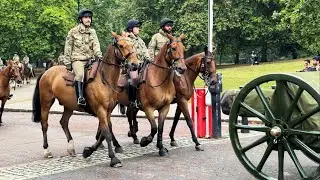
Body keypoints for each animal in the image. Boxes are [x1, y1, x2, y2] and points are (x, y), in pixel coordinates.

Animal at [31, 31, 140, 167]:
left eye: (132, 44)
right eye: (121, 45)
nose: (135, 64)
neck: (105, 79)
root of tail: (47, 71)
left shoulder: (108, 111)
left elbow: (104, 132)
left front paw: (88, 151)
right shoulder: (100, 110)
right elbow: (106, 132)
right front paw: (113, 158)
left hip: (68, 106)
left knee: (63, 122)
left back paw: (71, 147)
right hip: (46, 102)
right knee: (44, 124)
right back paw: (47, 150)